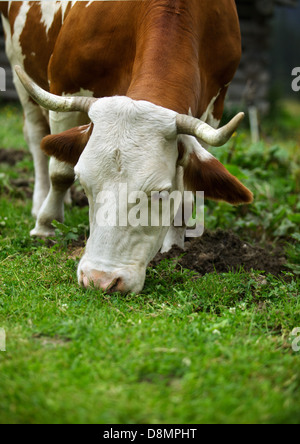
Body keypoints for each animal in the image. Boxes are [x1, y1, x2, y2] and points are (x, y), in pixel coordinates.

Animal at [0, 1, 253, 294]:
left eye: (160, 193)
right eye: (84, 183)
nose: (100, 279)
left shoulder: (214, 107)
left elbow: (189, 188)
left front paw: (175, 246)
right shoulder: (65, 88)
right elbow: (60, 172)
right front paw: (46, 225)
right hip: (21, 71)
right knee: (37, 139)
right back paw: (41, 203)